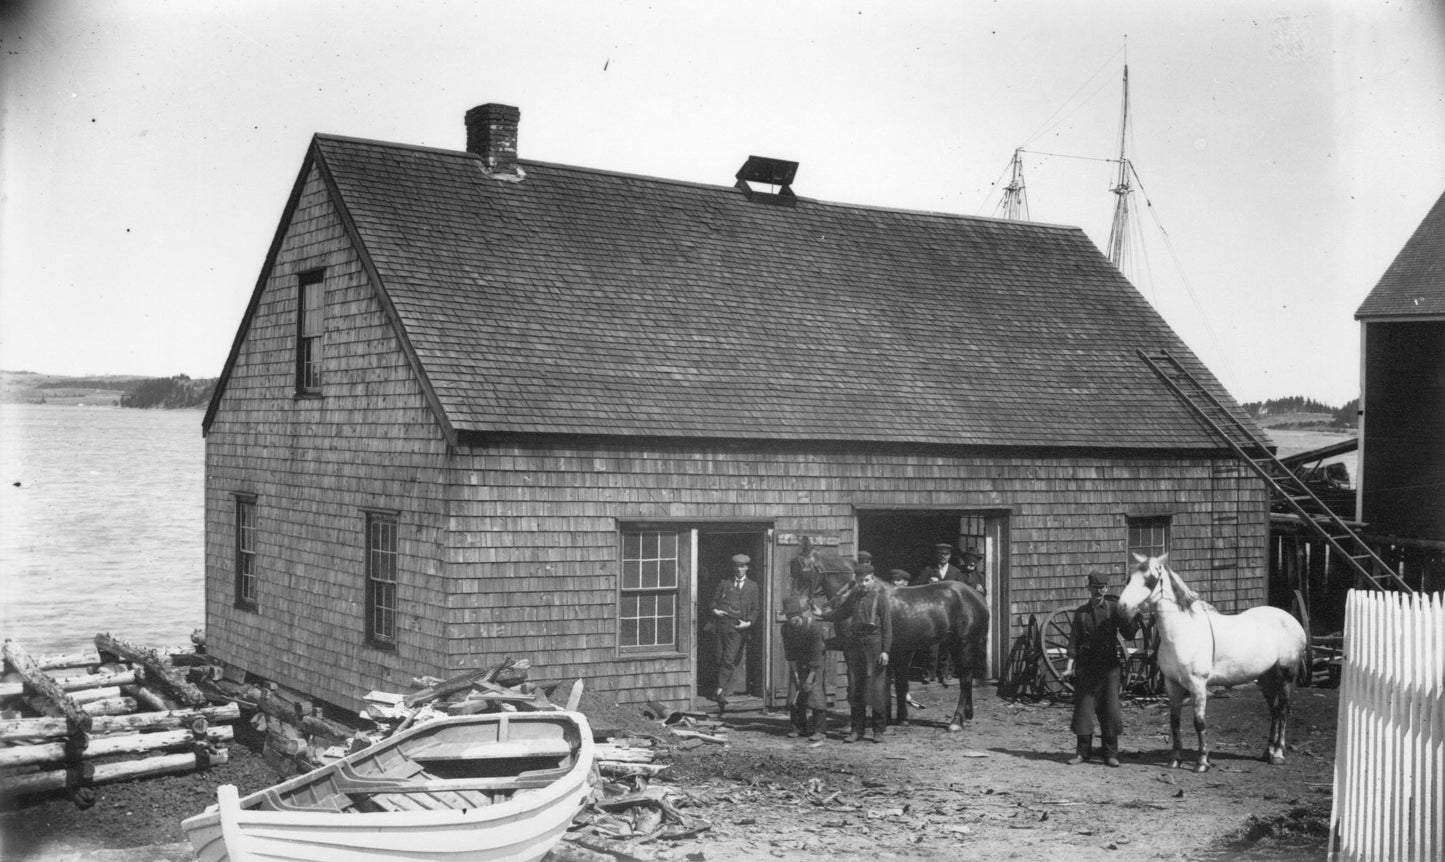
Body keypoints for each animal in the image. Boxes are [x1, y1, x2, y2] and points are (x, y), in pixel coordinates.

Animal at [820, 568, 988, 730]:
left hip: (964, 645)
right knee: (968, 677)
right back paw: (968, 715)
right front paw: (891, 719)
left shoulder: (854, 649)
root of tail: (979, 598)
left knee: (965, 680)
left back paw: (956, 722)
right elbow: (890, 683)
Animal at [1115, 554, 1312, 768]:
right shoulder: (1172, 683)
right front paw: (1175, 760)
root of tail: (1293, 621)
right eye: (1128, 578)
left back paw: (1278, 754)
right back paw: (1267, 752)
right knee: (1274, 711)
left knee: (1283, 711)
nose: (1122, 608)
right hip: (1266, 678)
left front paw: (1202, 761)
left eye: (1150, 579)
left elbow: (1199, 722)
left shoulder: (1198, 684)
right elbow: (1174, 721)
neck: (1182, 631)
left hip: (1286, 675)